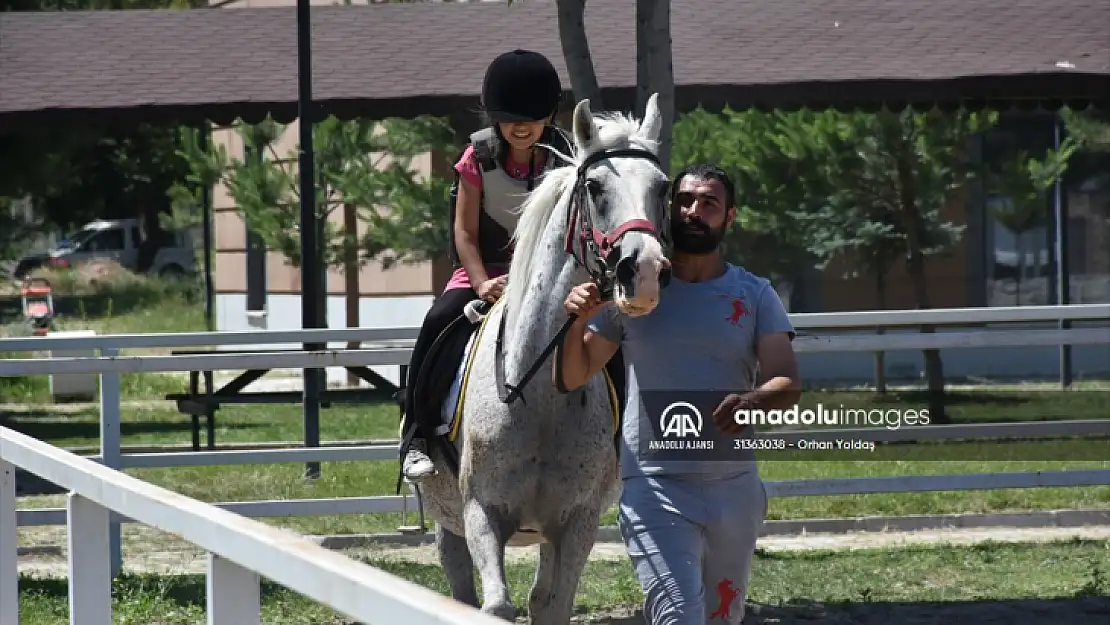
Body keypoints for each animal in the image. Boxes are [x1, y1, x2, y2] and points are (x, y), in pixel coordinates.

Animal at [412, 95, 666, 621]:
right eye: (594, 187)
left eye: (663, 188)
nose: (646, 273)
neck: (539, 395)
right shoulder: (481, 514)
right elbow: (497, 605)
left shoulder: (576, 523)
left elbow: (551, 604)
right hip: (450, 520)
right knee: (458, 582)